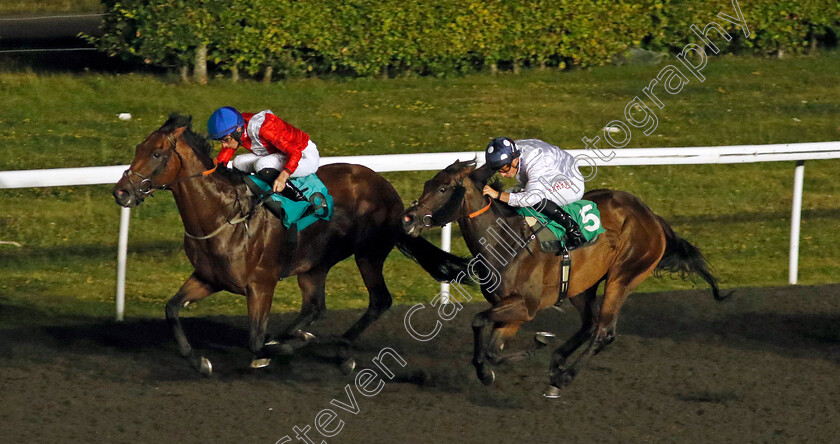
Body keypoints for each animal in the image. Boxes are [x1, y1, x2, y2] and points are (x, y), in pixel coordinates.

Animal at [110, 114, 466, 374]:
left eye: (156, 153)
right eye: (138, 147)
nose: (121, 191)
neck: (224, 215)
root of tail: (387, 187)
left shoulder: (261, 284)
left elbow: (255, 341)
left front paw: (284, 347)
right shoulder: (208, 278)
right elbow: (171, 309)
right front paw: (200, 361)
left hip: (369, 254)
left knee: (379, 301)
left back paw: (342, 352)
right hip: (314, 265)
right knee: (315, 306)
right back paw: (298, 334)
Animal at [400, 160, 728, 398]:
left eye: (443, 188)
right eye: (428, 183)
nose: (408, 218)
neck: (505, 240)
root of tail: (652, 216)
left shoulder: (526, 306)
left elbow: (479, 321)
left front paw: (501, 363)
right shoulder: (512, 308)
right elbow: (493, 349)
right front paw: (508, 361)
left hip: (623, 277)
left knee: (604, 332)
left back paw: (565, 375)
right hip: (581, 287)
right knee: (589, 325)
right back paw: (557, 366)